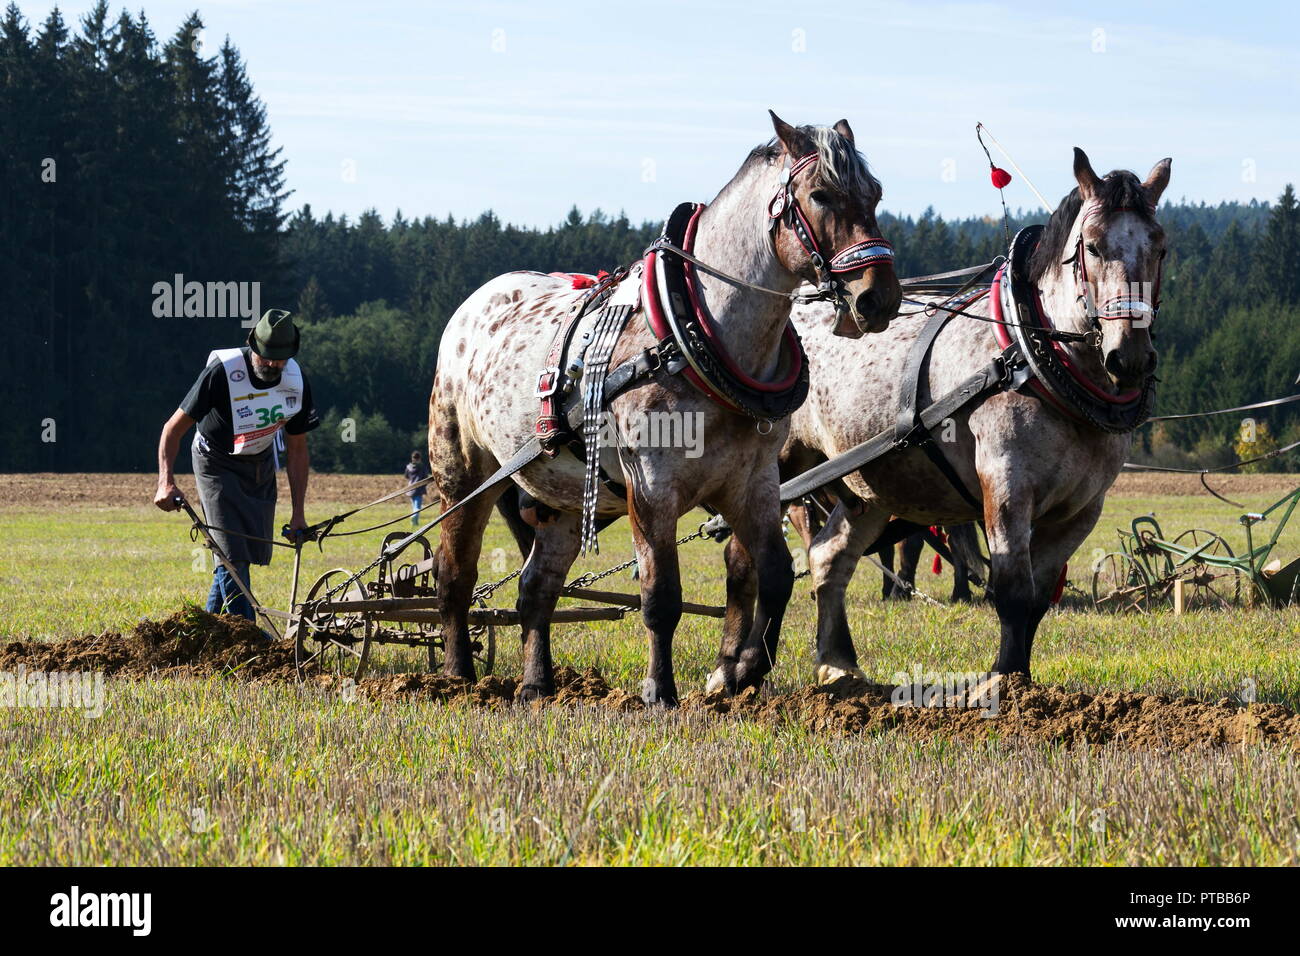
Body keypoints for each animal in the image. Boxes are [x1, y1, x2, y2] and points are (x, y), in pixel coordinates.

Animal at [426, 112, 901, 703]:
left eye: (875, 194)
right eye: (821, 195)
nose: (879, 298)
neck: (691, 337)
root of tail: (473, 305)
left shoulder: (753, 482)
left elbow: (772, 575)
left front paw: (743, 671)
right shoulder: (651, 484)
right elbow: (661, 595)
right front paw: (660, 690)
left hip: (564, 495)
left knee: (537, 588)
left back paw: (537, 684)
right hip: (463, 473)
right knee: (455, 575)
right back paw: (459, 678)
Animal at [715, 148, 1170, 688]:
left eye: (1160, 247)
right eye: (1094, 247)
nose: (1130, 358)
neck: (1030, 357)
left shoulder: (1082, 509)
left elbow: (1038, 598)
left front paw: (1023, 682)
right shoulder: (1006, 484)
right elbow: (1013, 591)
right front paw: (1003, 681)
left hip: (871, 486)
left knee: (829, 559)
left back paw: (839, 664)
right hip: (772, 468)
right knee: (746, 557)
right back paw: (733, 666)